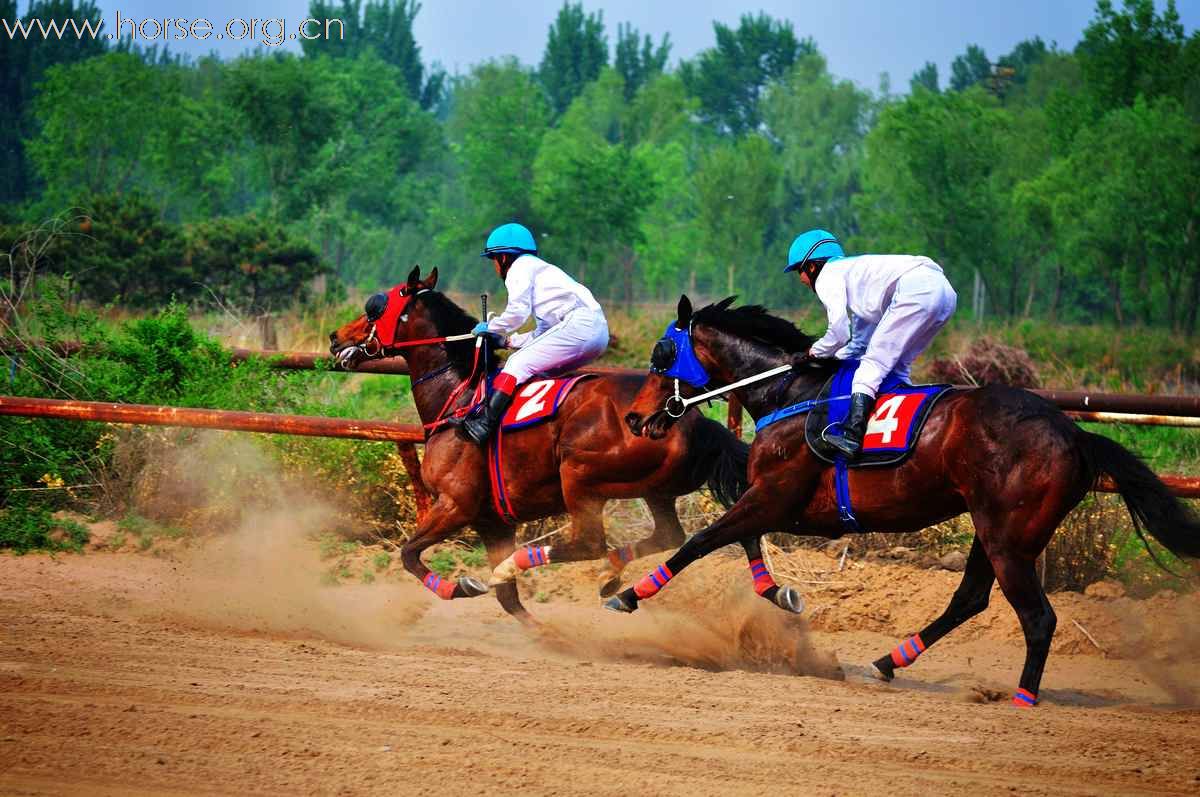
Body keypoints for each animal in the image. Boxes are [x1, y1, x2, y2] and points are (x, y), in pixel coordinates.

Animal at [324, 267, 744, 624]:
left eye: (376, 306)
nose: (335, 337)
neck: (458, 398)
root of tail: (691, 418)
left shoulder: (455, 504)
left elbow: (409, 554)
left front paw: (461, 585)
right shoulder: (492, 523)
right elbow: (507, 599)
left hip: (579, 477)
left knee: (589, 543)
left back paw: (543, 565)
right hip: (655, 490)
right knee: (668, 535)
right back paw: (608, 575)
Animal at [614, 295, 1195, 705]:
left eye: (662, 356)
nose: (636, 419)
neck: (790, 393)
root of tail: (1076, 435)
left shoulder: (776, 497)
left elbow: (701, 540)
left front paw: (628, 595)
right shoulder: (771, 500)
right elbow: (744, 544)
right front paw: (781, 594)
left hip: (1009, 537)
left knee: (1037, 617)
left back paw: (1024, 698)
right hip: (993, 529)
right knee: (970, 599)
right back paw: (891, 660)